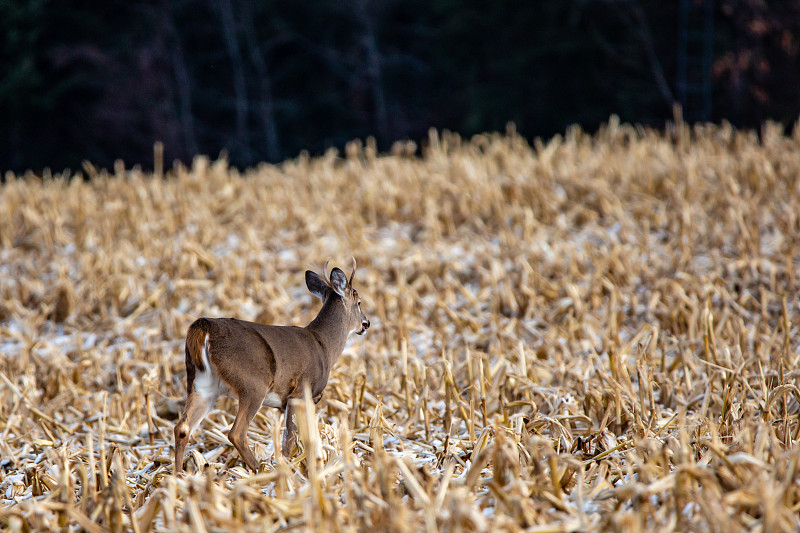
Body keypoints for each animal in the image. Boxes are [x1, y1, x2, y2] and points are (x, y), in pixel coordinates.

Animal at [173, 260, 370, 472]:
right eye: (359, 302)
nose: (366, 323)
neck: (324, 345)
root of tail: (203, 327)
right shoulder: (300, 392)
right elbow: (292, 438)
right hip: (252, 384)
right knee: (236, 432)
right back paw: (260, 469)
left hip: (202, 384)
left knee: (182, 427)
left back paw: (178, 474)